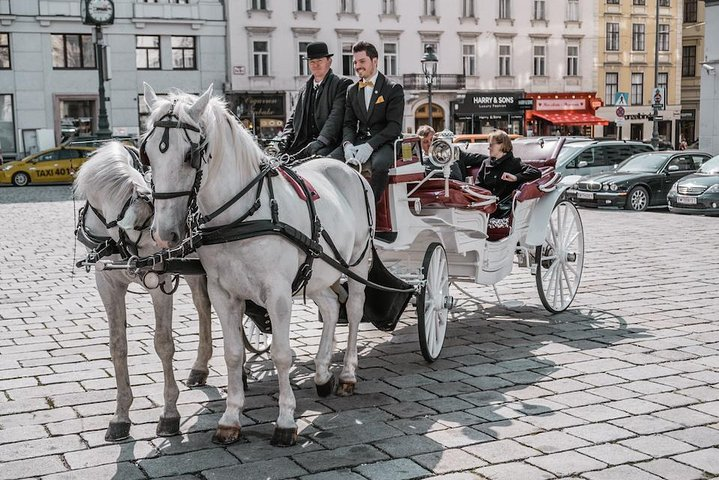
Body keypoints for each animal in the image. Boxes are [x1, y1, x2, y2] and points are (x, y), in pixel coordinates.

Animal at [74, 142, 214, 442]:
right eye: (144, 225)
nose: (168, 239)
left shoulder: (159, 282)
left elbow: (163, 343)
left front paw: (170, 414)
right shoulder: (107, 284)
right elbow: (117, 346)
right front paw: (120, 417)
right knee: (203, 306)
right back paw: (200, 367)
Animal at [142, 83, 376, 446]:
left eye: (189, 155)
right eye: (148, 154)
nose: (164, 233)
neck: (241, 215)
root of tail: (350, 168)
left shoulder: (277, 294)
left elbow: (281, 353)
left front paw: (285, 420)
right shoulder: (223, 294)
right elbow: (233, 354)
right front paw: (230, 418)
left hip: (358, 263)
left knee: (351, 310)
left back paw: (348, 374)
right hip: (319, 271)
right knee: (329, 307)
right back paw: (323, 372)